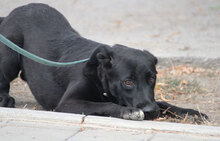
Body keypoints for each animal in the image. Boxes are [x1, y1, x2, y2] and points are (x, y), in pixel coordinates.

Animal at [0, 3, 207, 121]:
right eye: (128, 82)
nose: (150, 111)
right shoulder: (68, 104)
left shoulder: (153, 100)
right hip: (9, 57)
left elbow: (164, 103)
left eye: (152, 79)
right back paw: (4, 99)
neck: (100, 81)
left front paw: (190, 112)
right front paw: (128, 111)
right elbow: (102, 105)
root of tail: (10, 14)